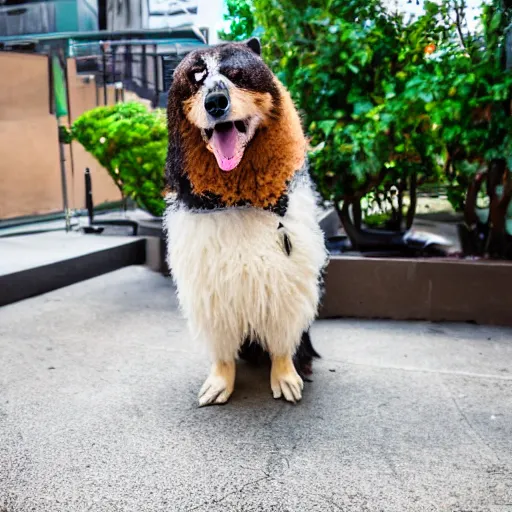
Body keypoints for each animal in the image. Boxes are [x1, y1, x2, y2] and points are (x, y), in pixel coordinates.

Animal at [164, 36, 328, 406]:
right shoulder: (210, 290)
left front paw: (285, 376)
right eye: (195, 78)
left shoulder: (286, 282)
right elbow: (223, 353)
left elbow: (282, 344)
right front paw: (220, 381)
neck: (238, 193)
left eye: (236, 74)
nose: (215, 102)